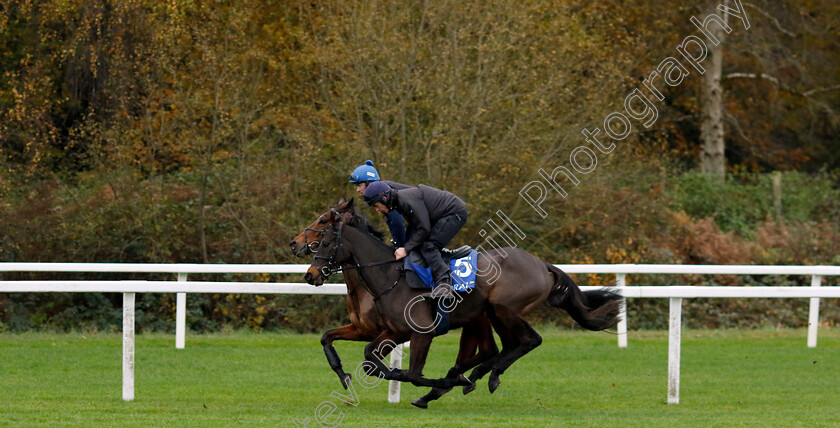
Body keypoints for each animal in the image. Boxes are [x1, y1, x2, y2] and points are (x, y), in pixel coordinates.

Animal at [290, 198, 498, 408]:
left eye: (323, 221)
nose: (294, 243)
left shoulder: (390, 331)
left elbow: (374, 362)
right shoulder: (362, 329)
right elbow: (328, 338)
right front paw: (344, 376)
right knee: (489, 350)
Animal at [306, 207, 620, 398]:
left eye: (324, 240)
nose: (310, 274)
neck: (389, 276)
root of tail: (541, 264)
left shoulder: (421, 333)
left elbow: (414, 375)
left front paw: (445, 383)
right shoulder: (394, 331)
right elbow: (370, 358)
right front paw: (351, 375)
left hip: (505, 309)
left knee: (530, 340)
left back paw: (485, 377)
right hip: (492, 314)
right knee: (505, 346)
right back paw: (479, 374)